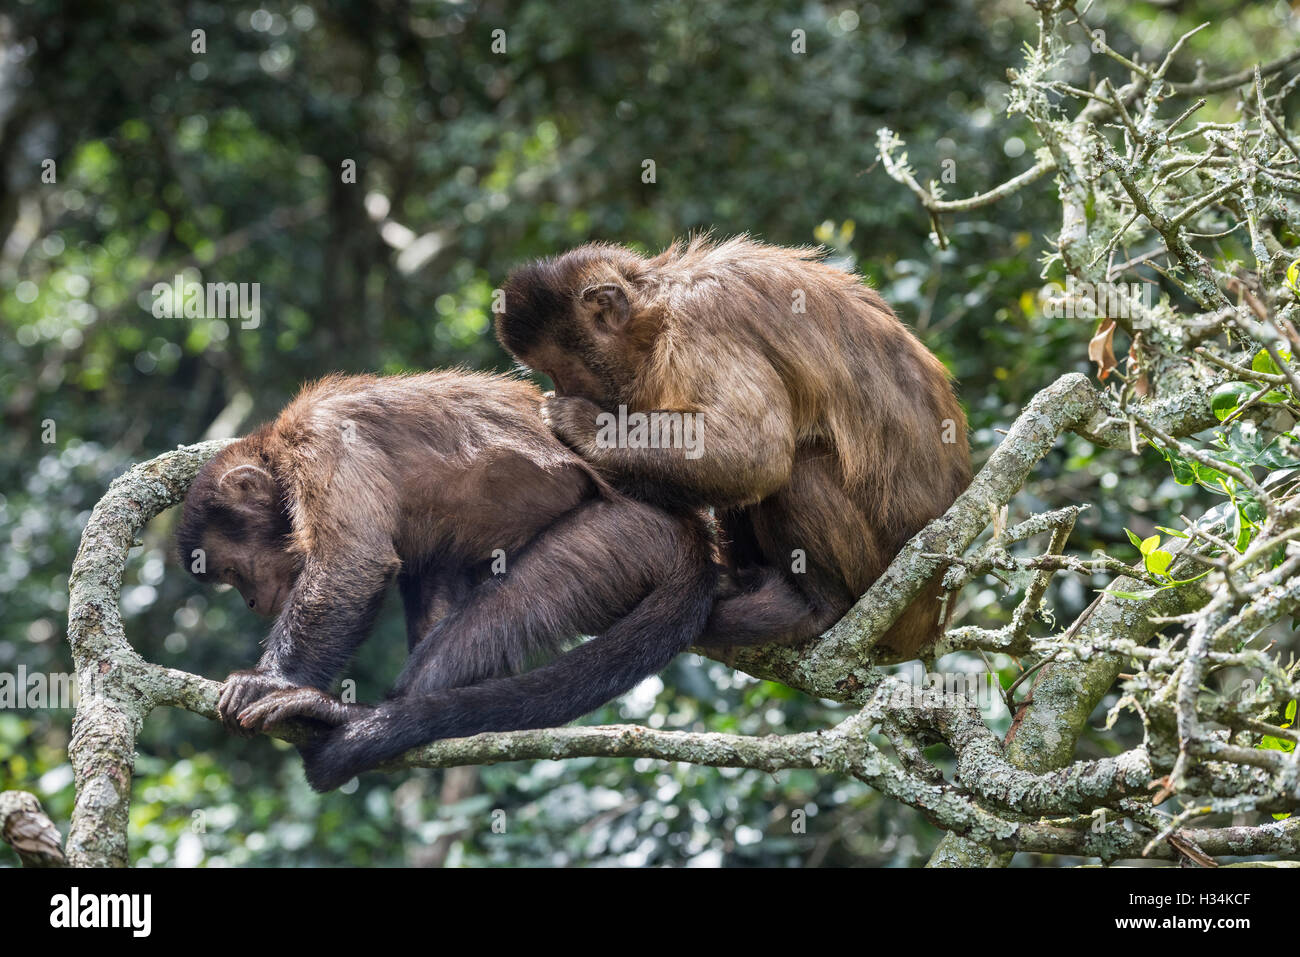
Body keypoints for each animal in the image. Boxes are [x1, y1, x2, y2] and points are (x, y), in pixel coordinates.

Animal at [176, 371, 719, 792]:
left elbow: (355, 560)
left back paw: (348, 718)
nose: (250, 602)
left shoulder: (323, 439)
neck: (281, 451)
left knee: (503, 607)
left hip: (625, 535)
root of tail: (694, 529)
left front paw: (273, 680)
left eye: (233, 573)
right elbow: (427, 567)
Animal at [496, 235, 972, 661]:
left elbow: (754, 454)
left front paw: (587, 428)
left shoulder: (701, 319)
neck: (658, 314)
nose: (557, 389)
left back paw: (822, 607)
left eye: (561, 372)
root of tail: (930, 619)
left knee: (797, 471)